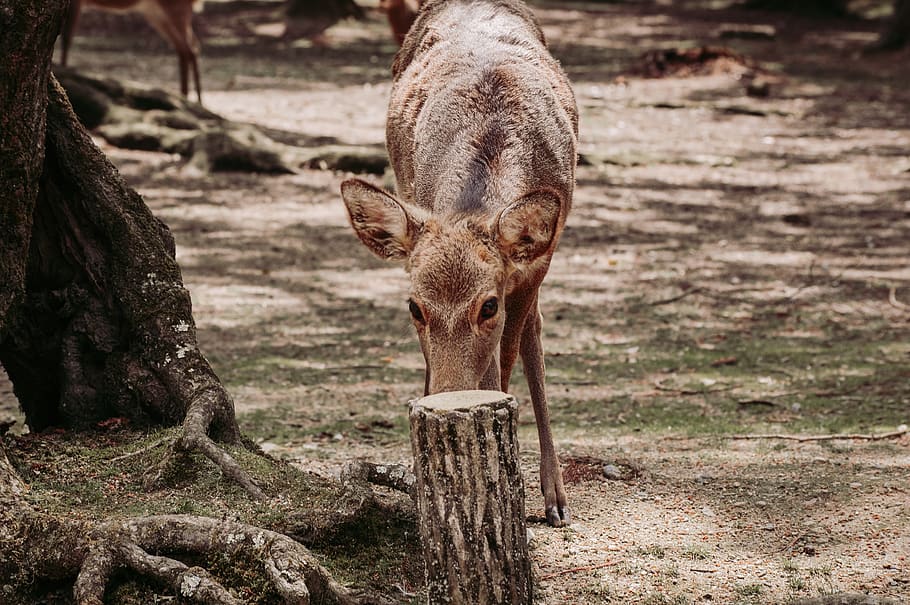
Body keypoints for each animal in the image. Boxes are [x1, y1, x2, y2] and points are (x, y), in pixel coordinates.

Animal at [59, 0, 202, 103]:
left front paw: (65, 71)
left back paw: (188, 98)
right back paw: (192, 99)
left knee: (189, 49)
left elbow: (66, 38)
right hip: (155, 13)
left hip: (175, 8)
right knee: (190, 47)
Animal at [340, 0, 578, 527]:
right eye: (414, 307)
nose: (449, 399)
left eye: (487, 306)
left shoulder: (531, 269)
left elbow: (506, 356)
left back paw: (554, 496)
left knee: (534, 334)